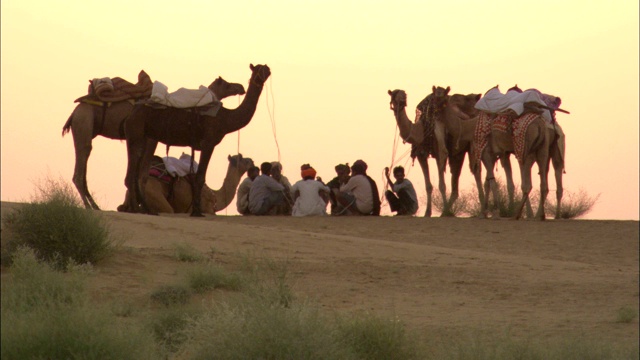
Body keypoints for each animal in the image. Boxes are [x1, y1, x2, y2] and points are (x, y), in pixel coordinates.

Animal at [62, 76, 246, 211]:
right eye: (226, 83)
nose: (240, 87)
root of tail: (75, 111)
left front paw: (133, 207)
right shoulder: (151, 138)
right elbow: (141, 174)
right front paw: (142, 208)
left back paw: (95, 205)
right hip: (83, 122)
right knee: (81, 164)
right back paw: (91, 207)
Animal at [122, 63, 270, 217]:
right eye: (259, 70)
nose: (240, 87)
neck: (225, 119)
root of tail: (132, 113)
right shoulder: (208, 143)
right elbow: (200, 177)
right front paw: (197, 212)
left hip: (146, 137)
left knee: (139, 175)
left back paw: (145, 209)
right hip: (135, 134)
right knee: (132, 174)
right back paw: (137, 209)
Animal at [388, 87, 482, 217]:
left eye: (404, 96)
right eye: (394, 95)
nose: (400, 103)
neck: (421, 130)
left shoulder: (439, 152)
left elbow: (442, 185)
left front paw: (444, 211)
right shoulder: (421, 154)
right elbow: (428, 186)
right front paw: (428, 212)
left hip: (472, 142)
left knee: (476, 171)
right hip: (459, 152)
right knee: (457, 181)